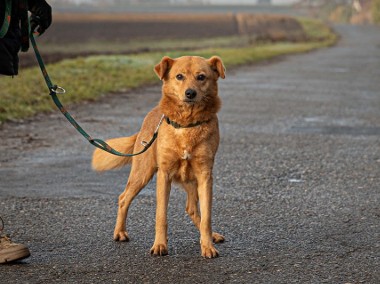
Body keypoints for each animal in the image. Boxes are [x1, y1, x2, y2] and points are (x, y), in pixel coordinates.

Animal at [92, 55, 226, 258]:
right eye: (179, 76)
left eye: (201, 77)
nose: (190, 93)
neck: (186, 125)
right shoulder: (164, 174)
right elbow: (161, 215)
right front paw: (160, 245)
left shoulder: (205, 176)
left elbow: (207, 217)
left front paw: (208, 246)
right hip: (142, 173)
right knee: (123, 198)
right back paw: (120, 232)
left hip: (191, 181)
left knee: (192, 209)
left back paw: (210, 237)